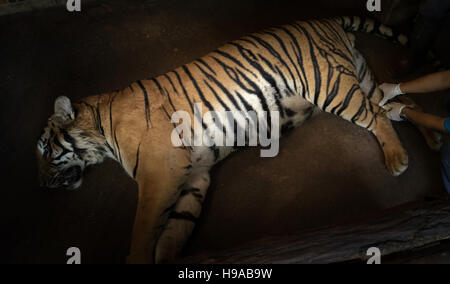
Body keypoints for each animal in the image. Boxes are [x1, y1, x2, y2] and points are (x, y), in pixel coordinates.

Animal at [36, 16, 442, 264]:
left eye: (43, 149)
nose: (42, 185)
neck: (101, 130)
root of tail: (327, 19)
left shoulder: (160, 172)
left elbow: (143, 228)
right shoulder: (195, 175)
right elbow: (174, 230)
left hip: (331, 86)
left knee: (376, 116)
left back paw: (397, 159)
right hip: (359, 79)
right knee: (401, 102)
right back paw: (435, 137)